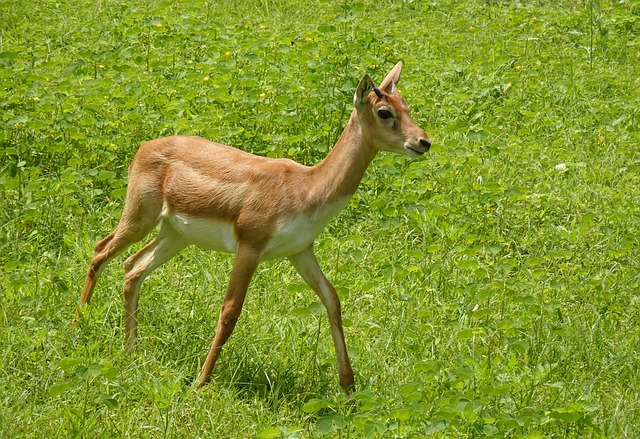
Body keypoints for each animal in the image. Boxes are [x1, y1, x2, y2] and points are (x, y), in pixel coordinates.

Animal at [79, 61, 432, 392]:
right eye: (384, 111)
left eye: (407, 105)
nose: (424, 141)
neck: (307, 189)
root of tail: (144, 146)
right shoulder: (250, 246)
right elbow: (230, 311)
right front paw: (201, 381)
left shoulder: (300, 250)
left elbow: (332, 300)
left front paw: (348, 386)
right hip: (141, 215)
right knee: (100, 250)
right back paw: (80, 322)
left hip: (175, 234)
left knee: (132, 267)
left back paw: (131, 349)